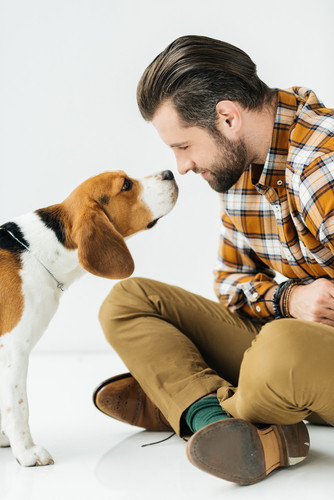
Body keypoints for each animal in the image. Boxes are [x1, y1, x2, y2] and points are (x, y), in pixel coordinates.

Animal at [0, 170, 177, 466]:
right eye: (126, 185)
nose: (169, 173)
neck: (42, 248)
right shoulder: (13, 351)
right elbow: (19, 406)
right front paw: (26, 451)